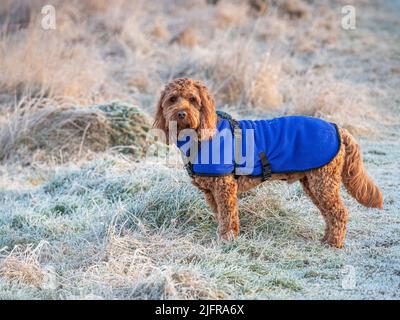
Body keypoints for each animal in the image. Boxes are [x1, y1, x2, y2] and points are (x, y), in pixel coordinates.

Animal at [152, 77, 382, 248]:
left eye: (193, 99)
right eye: (172, 99)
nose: (181, 113)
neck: (200, 135)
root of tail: (338, 128)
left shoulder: (224, 187)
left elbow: (227, 215)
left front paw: (227, 240)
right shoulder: (211, 192)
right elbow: (223, 216)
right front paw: (227, 236)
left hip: (323, 182)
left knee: (339, 212)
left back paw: (334, 243)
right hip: (313, 183)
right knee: (329, 213)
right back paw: (326, 239)